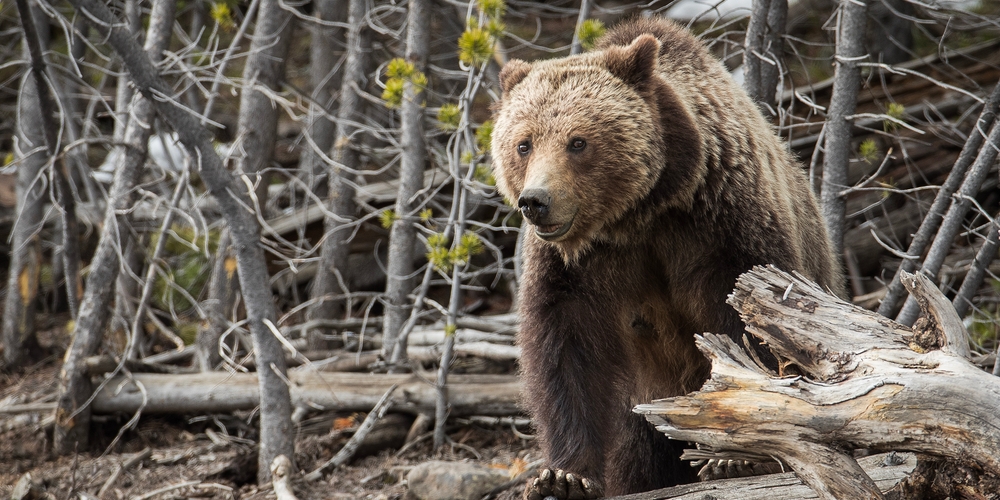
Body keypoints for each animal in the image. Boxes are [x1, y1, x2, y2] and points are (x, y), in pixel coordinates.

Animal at [489, 16, 843, 500]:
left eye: (577, 142)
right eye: (523, 144)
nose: (536, 201)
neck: (640, 213)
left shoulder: (720, 225)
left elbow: (751, 326)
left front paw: (735, 457)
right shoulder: (576, 266)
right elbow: (566, 350)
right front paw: (563, 477)